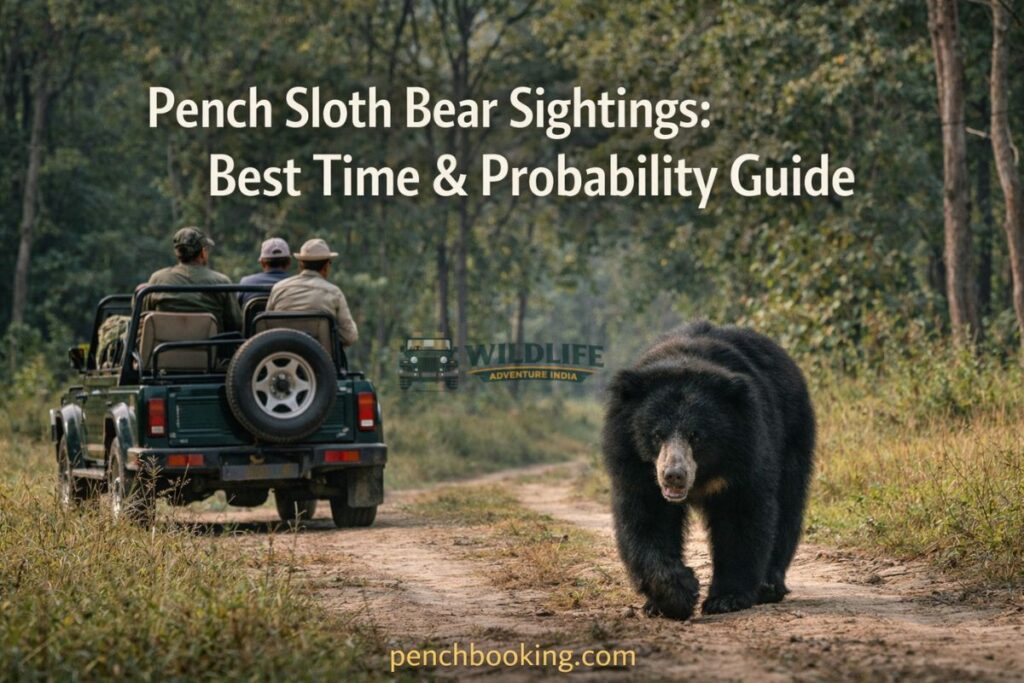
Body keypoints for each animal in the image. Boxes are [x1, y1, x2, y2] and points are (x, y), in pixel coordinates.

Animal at [602, 321, 815, 620]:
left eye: (696, 436)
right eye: (656, 435)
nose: (674, 475)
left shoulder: (746, 451)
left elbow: (741, 517)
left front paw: (726, 599)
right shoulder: (635, 466)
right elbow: (645, 521)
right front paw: (674, 596)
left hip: (793, 434)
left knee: (788, 504)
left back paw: (770, 586)